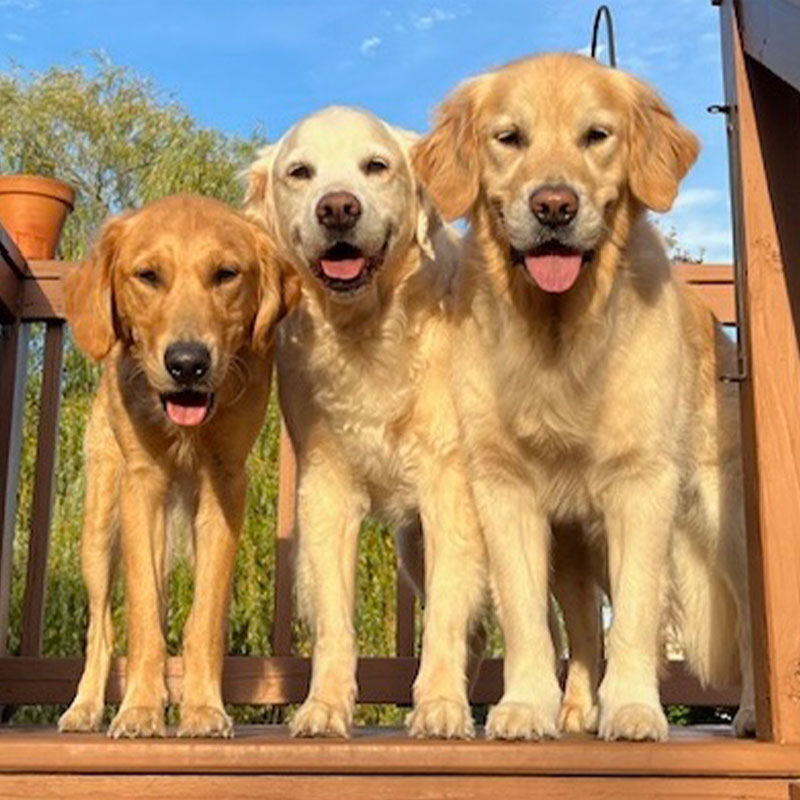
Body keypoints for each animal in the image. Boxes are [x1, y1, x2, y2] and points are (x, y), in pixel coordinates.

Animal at [247, 109, 488, 740]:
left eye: (376, 166)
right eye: (300, 172)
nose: (337, 208)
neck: (367, 331)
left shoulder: (449, 485)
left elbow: (447, 615)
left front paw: (441, 709)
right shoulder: (326, 489)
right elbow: (335, 620)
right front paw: (324, 708)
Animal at [412, 54, 756, 744]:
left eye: (596, 136)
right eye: (509, 137)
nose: (554, 206)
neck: (558, 334)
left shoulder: (641, 486)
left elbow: (636, 618)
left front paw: (633, 711)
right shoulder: (504, 487)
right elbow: (527, 619)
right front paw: (525, 707)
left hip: (723, 518)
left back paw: (755, 711)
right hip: (575, 545)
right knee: (582, 632)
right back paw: (575, 711)